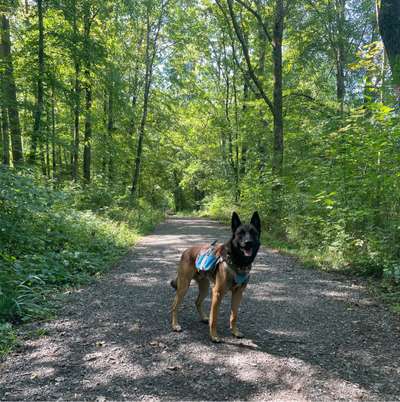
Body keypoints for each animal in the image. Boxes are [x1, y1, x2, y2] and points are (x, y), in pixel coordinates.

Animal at [170, 210, 260, 342]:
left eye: (253, 233)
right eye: (240, 234)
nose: (248, 243)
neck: (238, 261)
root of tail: (186, 251)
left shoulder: (238, 293)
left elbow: (234, 315)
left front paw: (235, 332)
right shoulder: (217, 293)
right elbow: (214, 318)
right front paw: (214, 336)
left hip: (205, 288)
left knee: (197, 302)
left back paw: (203, 317)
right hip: (183, 287)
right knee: (175, 306)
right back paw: (175, 325)